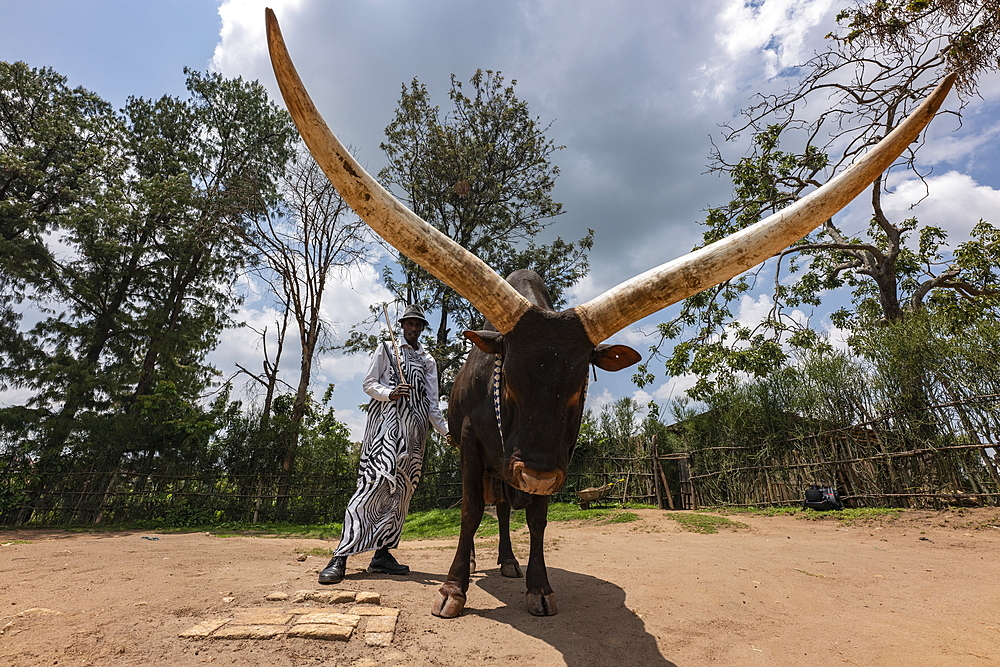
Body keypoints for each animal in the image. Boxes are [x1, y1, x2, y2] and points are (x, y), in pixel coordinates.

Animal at [264, 6, 952, 620]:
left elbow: (537, 516)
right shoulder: (472, 445)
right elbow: (468, 511)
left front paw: (539, 586)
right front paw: (455, 591)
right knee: (491, 505)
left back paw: (508, 562)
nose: (538, 470)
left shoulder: (554, 452)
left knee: (511, 508)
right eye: (509, 382)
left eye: (578, 390)